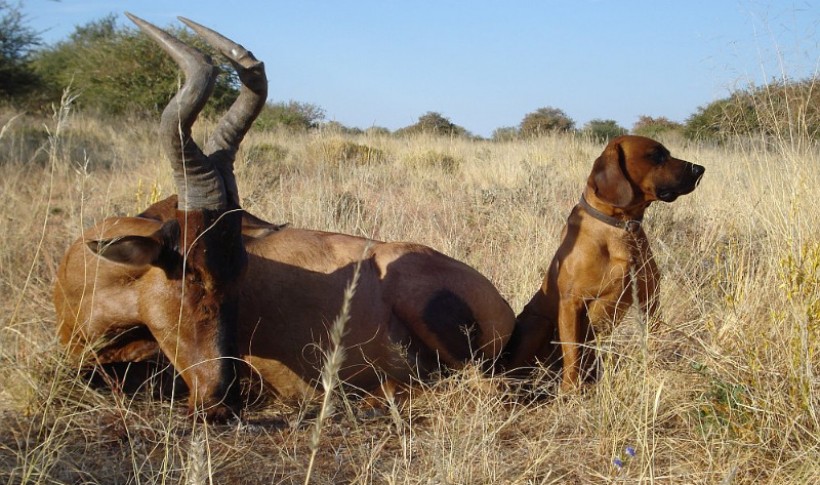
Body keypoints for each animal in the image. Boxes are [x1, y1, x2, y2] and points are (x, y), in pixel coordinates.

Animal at [506, 135, 704, 390]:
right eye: (656, 155)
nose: (700, 169)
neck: (619, 227)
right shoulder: (572, 303)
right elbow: (572, 354)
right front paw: (570, 391)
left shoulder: (650, 298)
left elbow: (655, 334)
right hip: (539, 323)